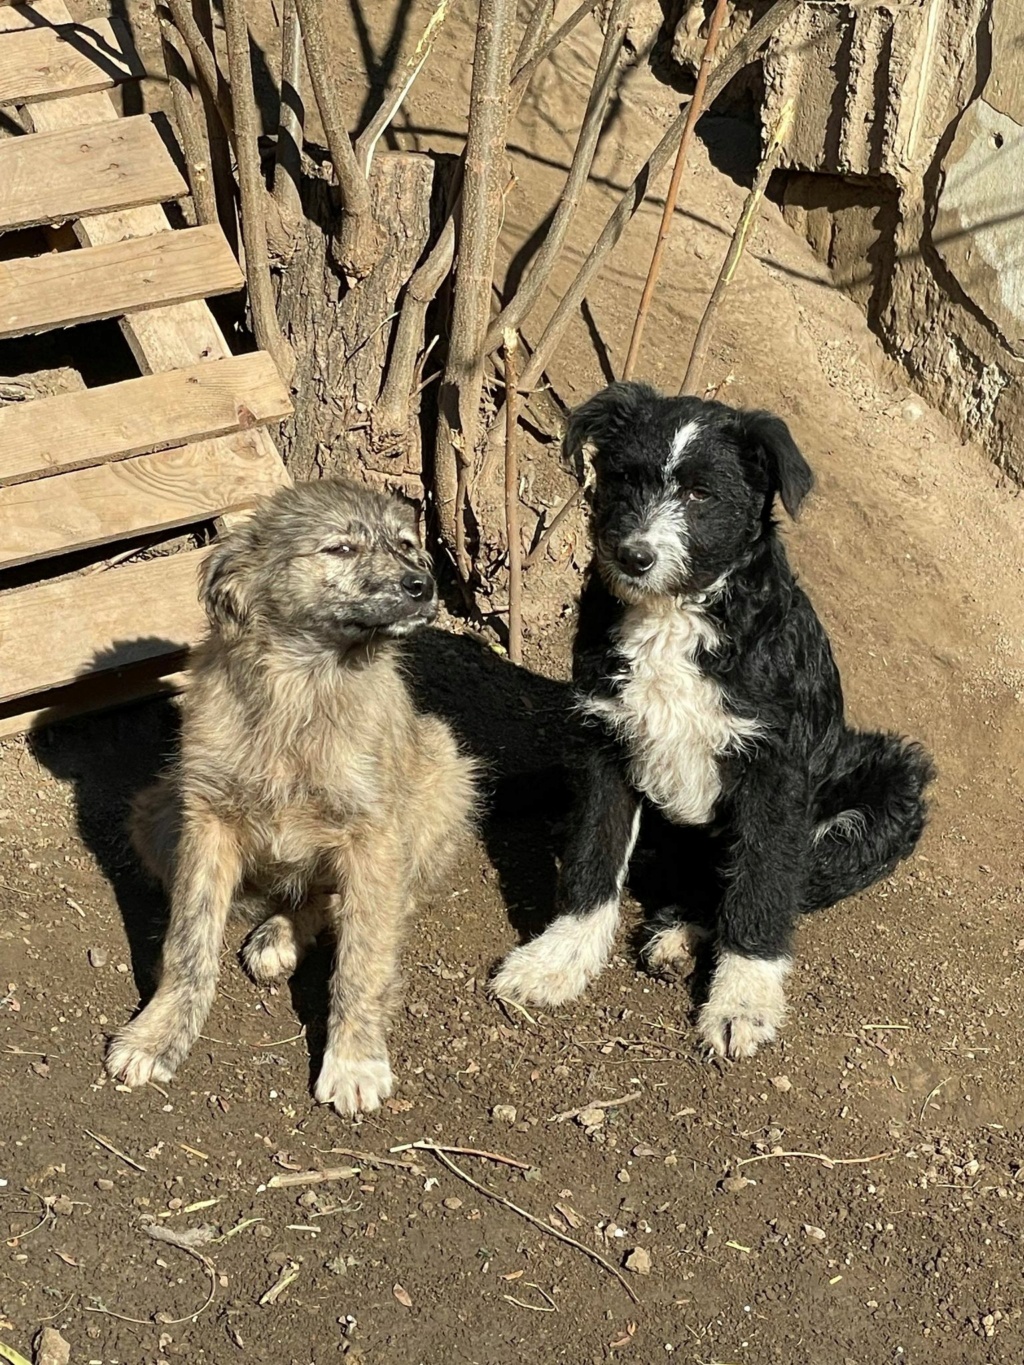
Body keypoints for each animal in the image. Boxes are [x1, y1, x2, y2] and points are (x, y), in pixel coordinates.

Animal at [494, 382, 933, 1053]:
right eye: (625, 477)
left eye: (702, 494)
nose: (634, 556)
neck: (674, 617)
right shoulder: (604, 740)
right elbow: (594, 855)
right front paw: (558, 960)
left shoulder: (774, 770)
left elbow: (761, 882)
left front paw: (742, 1002)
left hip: (890, 787)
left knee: (766, 882)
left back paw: (685, 932)